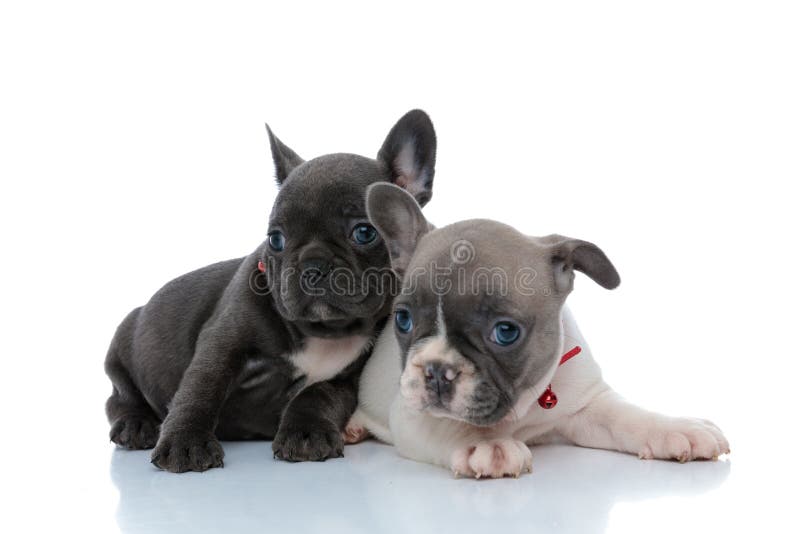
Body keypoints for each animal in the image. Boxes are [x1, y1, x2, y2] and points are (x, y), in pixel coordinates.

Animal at [104, 109, 438, 474]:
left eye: (364, 232)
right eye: (275, 239)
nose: (312, 266)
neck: (324, 331)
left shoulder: (347, 380)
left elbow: (316, 395)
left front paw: (306, 434)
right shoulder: (221, 345)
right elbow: (201, 388)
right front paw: (185, 441)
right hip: (120, 350)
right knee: (119, 398)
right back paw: (136, 425)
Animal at [346, 185, 728, 482]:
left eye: (505, 332)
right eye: (403, 319)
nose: (437, 370)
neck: (527, 402)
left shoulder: (586, 405)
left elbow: (628, 416)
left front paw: (679, 428)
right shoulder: (410, 414)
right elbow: (450, 424)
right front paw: (484, 443)